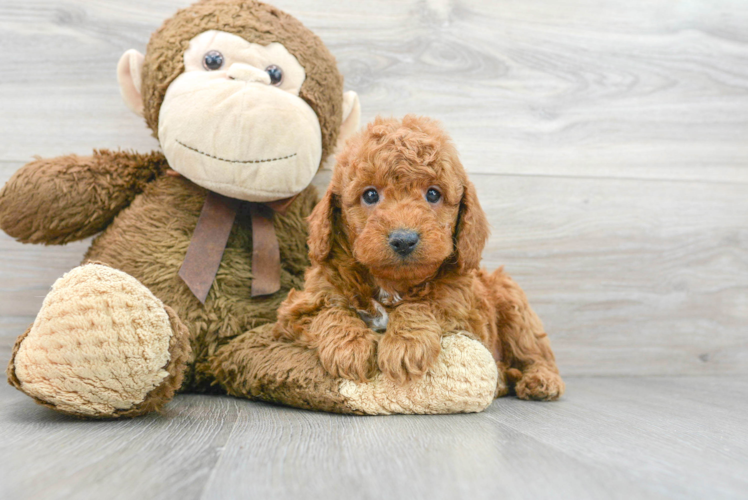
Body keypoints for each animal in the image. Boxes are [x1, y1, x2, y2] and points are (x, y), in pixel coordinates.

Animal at [276, 115, 568, 400]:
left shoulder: (463, 311)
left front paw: (405, 344)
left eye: (433, 194)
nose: (404, 240)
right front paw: (350, 347)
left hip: (513, 302)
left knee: (535, 352)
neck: (391, 284)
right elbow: (329, 311)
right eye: (370, 194)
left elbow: (425, 303)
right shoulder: (302, 305)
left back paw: (540, 380)